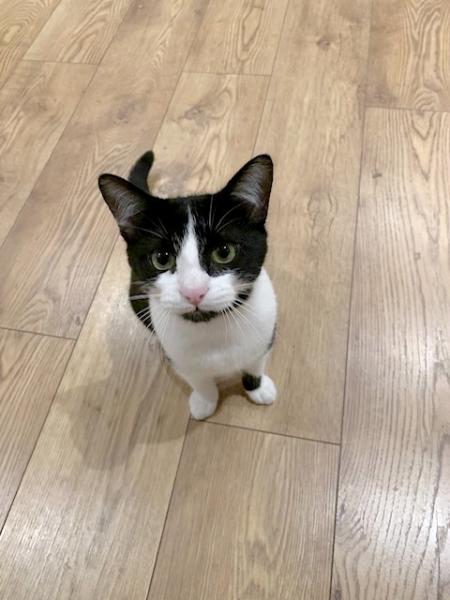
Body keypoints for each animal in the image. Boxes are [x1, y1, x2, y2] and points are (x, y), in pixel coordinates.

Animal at [98, 151, 277, 420]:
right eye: (161, 259)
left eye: (224, 252)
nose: (194, 292)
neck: (213, 332)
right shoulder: (180, 357)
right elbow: (199, 379)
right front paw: (205, 401)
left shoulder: (265, 333)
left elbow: (255, 363)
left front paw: (258, 388)